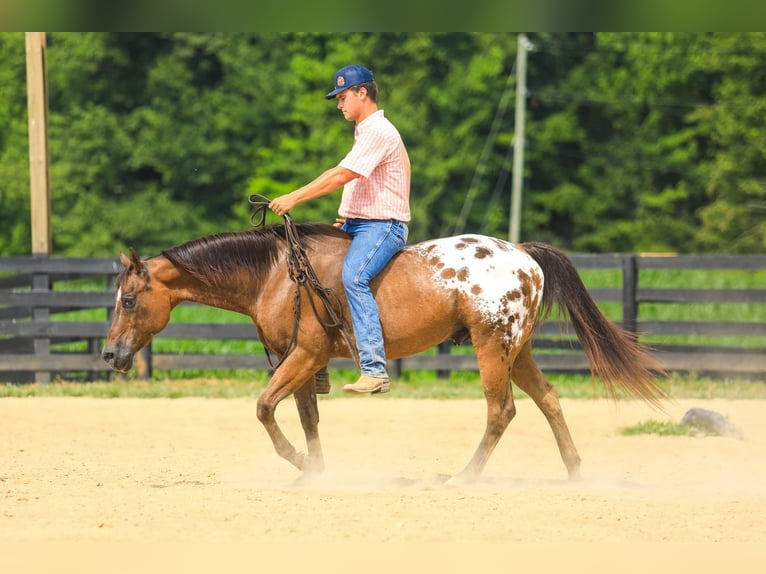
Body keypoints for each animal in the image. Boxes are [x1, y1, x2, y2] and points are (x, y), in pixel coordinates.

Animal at [100, 225, 664, 486]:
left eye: (128, 300)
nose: (108, 354)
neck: (276, 275)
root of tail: (524, 255)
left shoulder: (303, 354)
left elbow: (264, 408)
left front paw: (300, 463)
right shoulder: (302, 361)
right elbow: (306, 417)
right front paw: (314, 471)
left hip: (492, 348)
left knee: (501, 410)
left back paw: (463, 477)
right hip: (516, 349)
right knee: (548, 399)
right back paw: (575, 472)